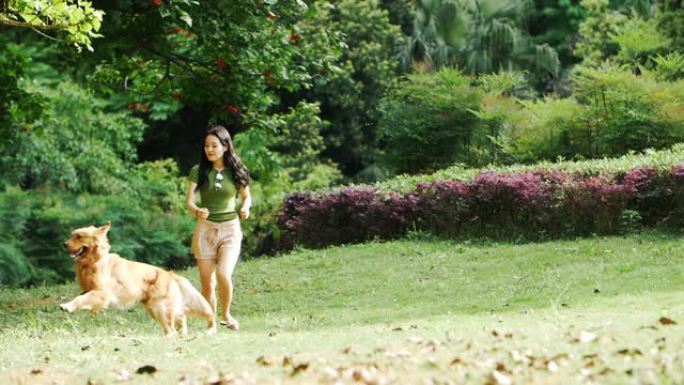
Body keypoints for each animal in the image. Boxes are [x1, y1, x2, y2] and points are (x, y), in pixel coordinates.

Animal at [61, 224, 218, 334]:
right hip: (156, 307)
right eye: (72, 236)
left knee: (171, 327)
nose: (64, 244)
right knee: (181, 316)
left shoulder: (102, 293)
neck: (93, 262)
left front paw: (67, 306)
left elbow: (80, 299)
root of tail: (169, 274)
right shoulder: (90, 291)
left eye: (79, 236)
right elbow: (83, 297)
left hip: (159, 308)